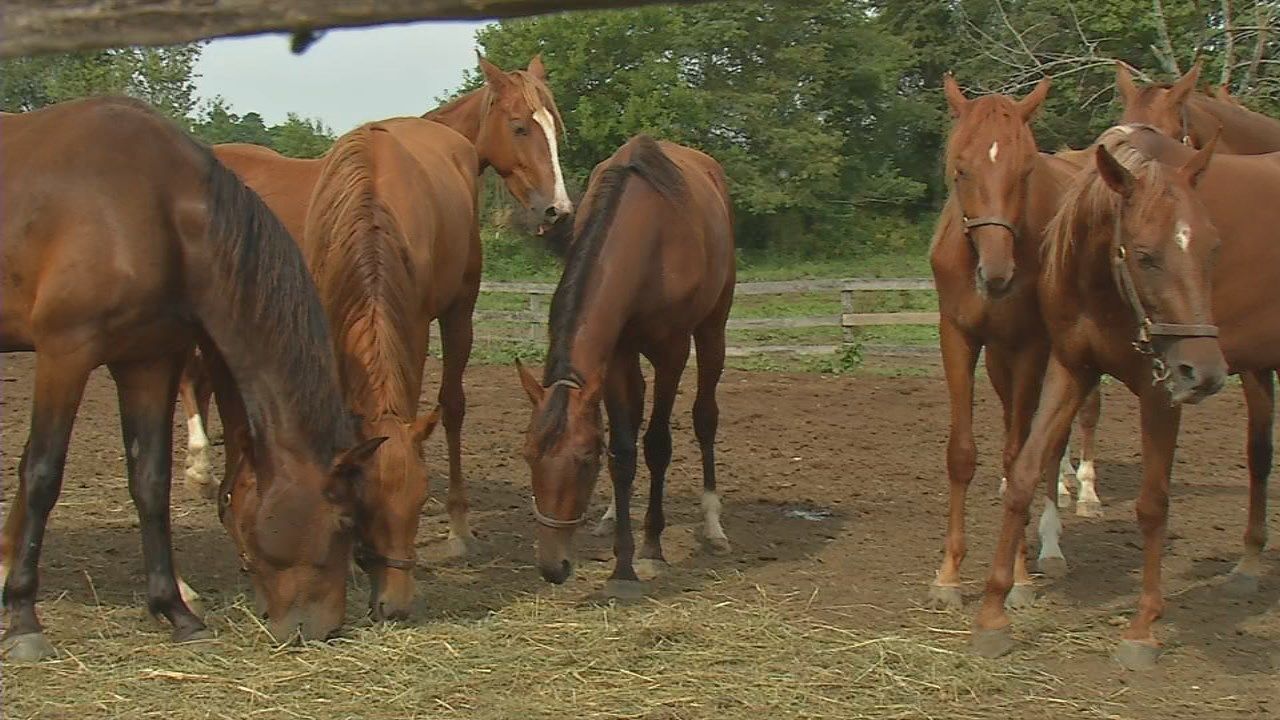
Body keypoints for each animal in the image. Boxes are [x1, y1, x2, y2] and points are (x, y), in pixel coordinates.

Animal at [0, 97, 383, 659]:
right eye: (347, 522)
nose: (322, 627)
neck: (148, 207)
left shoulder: (149, 361)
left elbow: (150, 481)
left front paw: (176, 612)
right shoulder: (64, 354)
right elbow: (43, 475)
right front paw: (24, 619)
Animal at [514, 135, 734, 593]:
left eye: (585, 461)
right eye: (527, 455)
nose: (553, 567)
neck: (648, 238)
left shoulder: (672, 351)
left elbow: (657, 446)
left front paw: (650, 548)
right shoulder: (615, 354)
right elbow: (622, 448)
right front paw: (622, 559)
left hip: (712, 328)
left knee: (705, 417)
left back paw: (712, 525)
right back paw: (612, 515)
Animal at [927, 75, 1104, 612]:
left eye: (1026, 170)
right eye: (960, 168)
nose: (998, 273)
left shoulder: (1031, 347)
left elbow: (1021, 454)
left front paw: (1020, 576)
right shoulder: (958, 338)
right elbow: (962, 453)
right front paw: (948, 576)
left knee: (1053, 443)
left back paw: (1052, 543)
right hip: (1001, 361)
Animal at [971, 123, 1280, 669]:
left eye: (1213, 249)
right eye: (1144, 255)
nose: (1204, 373)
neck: (1104, 293)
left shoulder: (1160, 391)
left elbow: (1153, 504)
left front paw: (1142, 630)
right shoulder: (1070, 370)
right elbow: (1025, 474)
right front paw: (993, 615)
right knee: (1260, 455)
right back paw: (1246, 567)